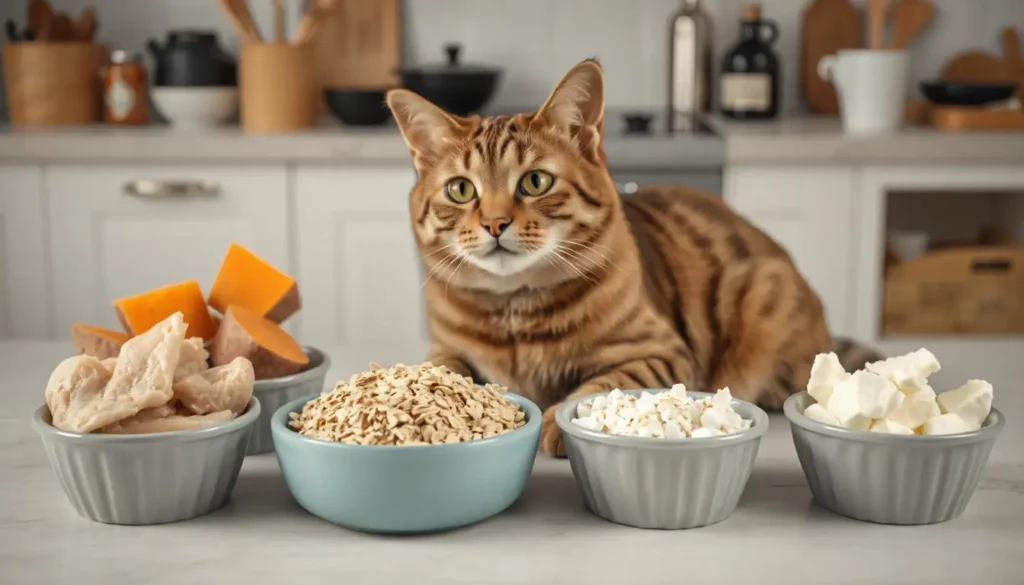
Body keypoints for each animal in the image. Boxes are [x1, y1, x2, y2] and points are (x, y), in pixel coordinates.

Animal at [385, 59, 880, 454]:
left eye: (535, 182)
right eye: (461, 189)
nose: (494, 223)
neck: (514, 315)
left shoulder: (659, 352)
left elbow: (602, 385)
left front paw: (557, 424)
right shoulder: (443, 350)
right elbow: (444, 373)